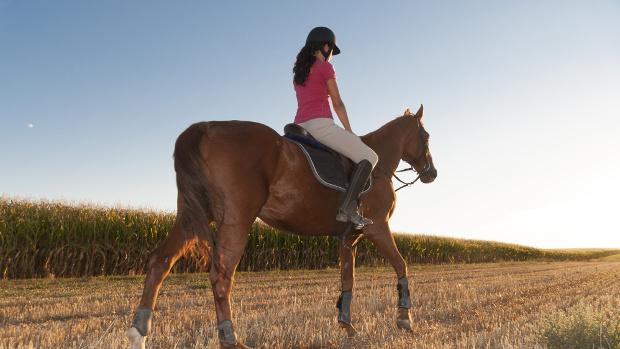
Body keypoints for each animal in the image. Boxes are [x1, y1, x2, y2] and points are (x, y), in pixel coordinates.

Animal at [126, 104, 436, 346]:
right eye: (426, 136)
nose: (431, 173)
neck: (378, 165)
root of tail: (204, 128)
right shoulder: (377, 227)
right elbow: (401, 265)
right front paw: (405, 319)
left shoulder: (349, 238)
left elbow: (348, 280)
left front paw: (347, 326)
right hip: (236, 220)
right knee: (221, 275)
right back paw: (231, 339)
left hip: (191, 217)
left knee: (160, 262)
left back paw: (138, 332)